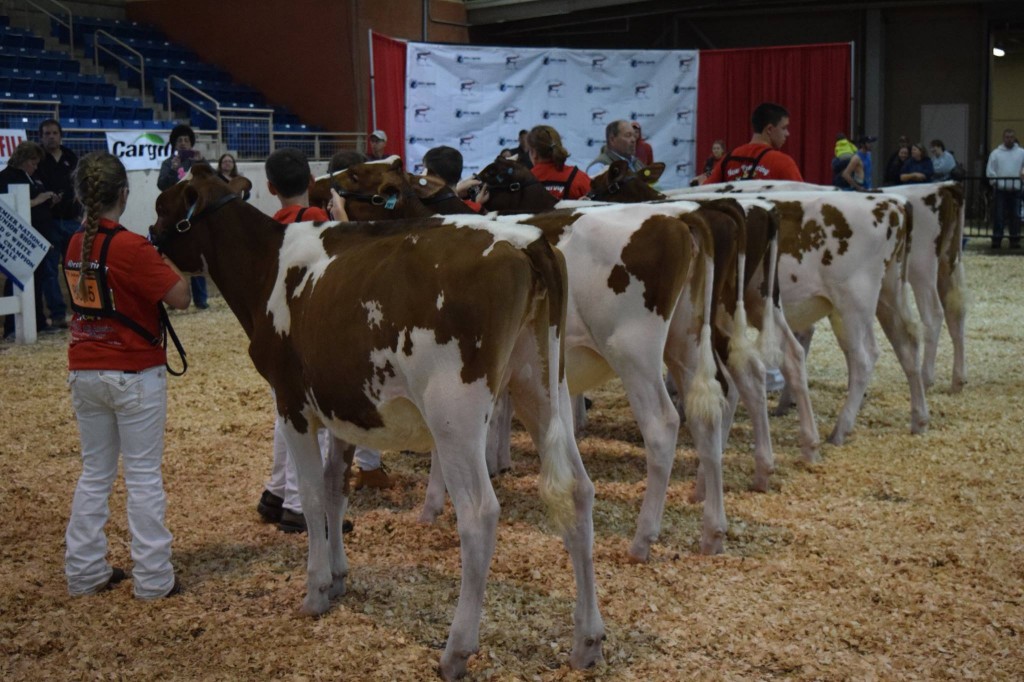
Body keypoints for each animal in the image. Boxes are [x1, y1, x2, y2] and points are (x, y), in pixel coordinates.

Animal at [149, 164, 604, 680]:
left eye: (162, 205)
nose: (150, 236)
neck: (267, 267)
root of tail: (525, 240)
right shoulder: (344, 409)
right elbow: (335, 488)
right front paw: (338, 577)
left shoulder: (292, 403)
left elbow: (311, 495)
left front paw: (314, 591)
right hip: (543, 384)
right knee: (577, 491)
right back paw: (587, 641)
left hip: (456, 411)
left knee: (479, 513)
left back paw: (456, 650)